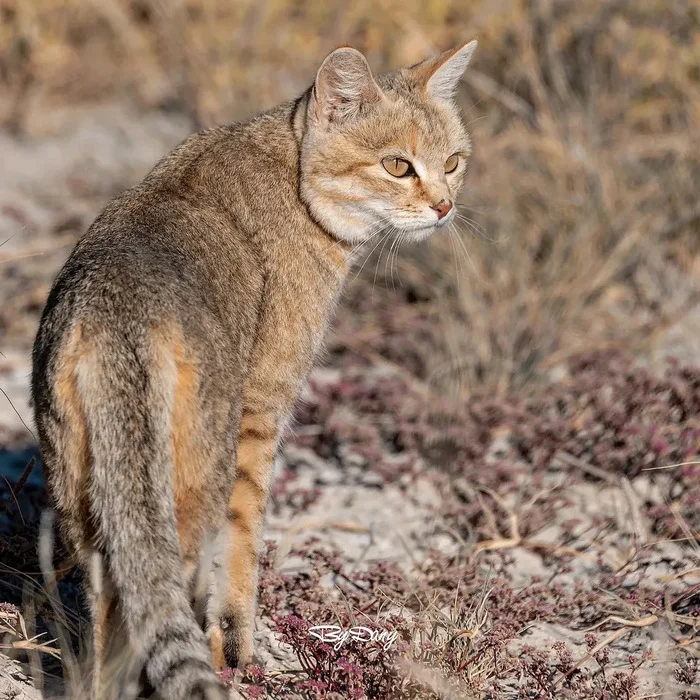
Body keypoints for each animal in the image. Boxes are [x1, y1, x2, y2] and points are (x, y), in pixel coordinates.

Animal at [34, 41, 482, 696]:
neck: (291, 171)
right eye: (398, 166)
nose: (444, 208)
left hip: (84, 496)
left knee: (106, 615)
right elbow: (242, 546)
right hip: (190, 484)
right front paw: (239, 647)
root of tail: (119, 312)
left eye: (452, 162)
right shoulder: (262, 408)